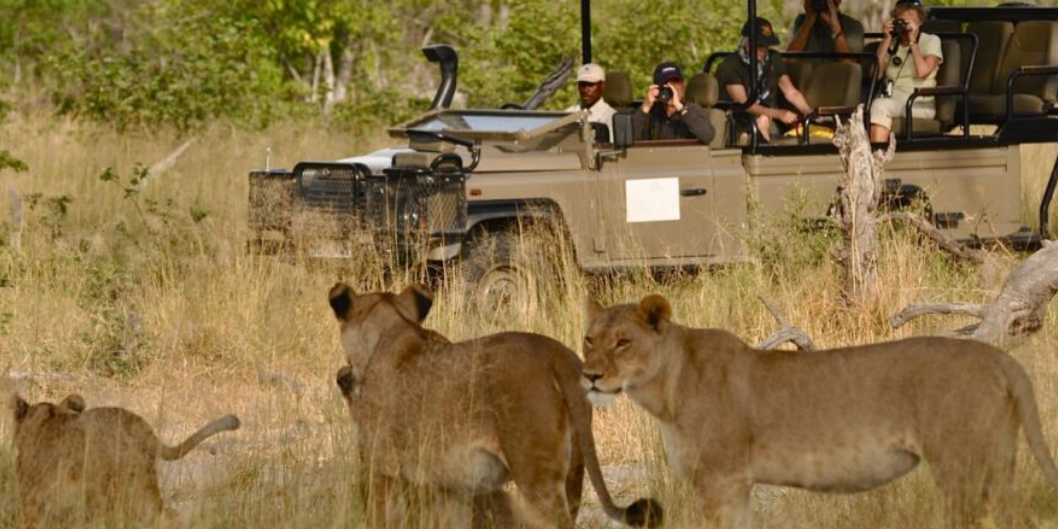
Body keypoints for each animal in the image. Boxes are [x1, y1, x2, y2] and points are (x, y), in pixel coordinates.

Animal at [328, 282, 662, 529]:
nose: (341, 376)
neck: (391, 330)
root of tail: (554, 353)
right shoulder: (449, 486)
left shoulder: (378, 467)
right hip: (575, 469)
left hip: (535, 469)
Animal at [581, 294, 1058, 528]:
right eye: (589, 339)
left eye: (622, 342)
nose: (588, 375)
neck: (665, 388)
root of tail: (999, 357)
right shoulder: (735, 484)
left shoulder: (720, 480)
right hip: (998, 460)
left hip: (962, 466)